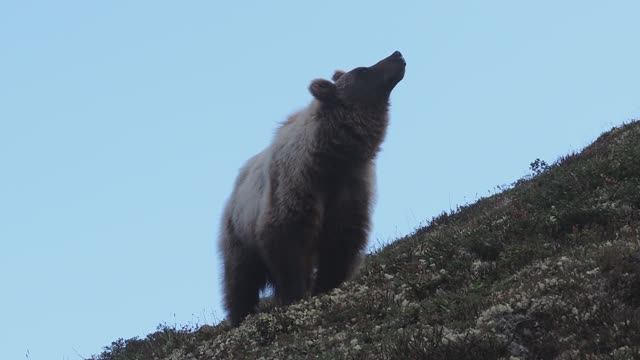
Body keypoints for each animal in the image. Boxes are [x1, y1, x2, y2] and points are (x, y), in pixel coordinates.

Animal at [220, 51, 404, 326]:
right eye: (362, 69)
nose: (397, 54)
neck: (330, 158)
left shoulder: (350, 188)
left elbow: (342, 240)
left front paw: (327, 286)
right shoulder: (295, 186)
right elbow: (288, 240)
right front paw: (296, 294)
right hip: (239, 231)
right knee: (240, 277)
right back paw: (240, 314)